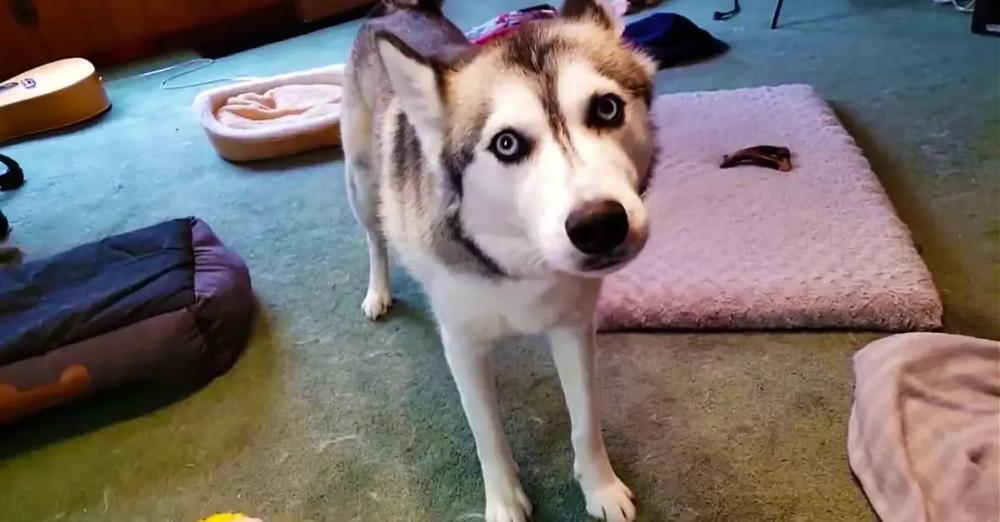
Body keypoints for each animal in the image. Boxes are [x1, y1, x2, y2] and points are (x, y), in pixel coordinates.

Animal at [344, 2, 656, 516]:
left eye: (606, 108)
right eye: (506, 144)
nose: (598, 225)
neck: (521, 262)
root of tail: (396, 11)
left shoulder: (574, 328)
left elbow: (586, 420)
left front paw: (600, 487)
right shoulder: (463, 346)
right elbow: (487, 434)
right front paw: (505, 502)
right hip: (363, 186)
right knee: (375, 238)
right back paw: (377, 291)